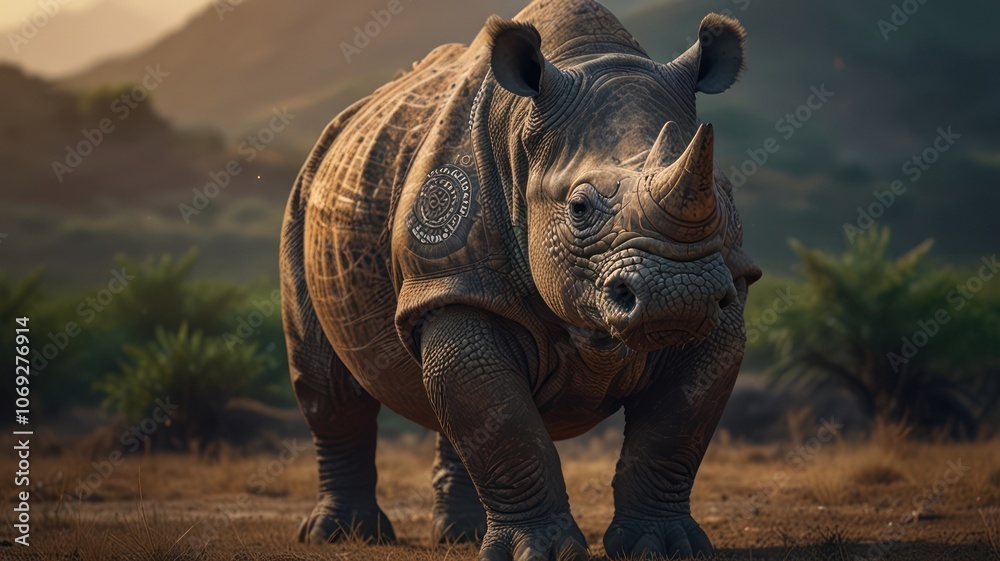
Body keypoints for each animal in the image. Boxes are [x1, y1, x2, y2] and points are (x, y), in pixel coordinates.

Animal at [280, 0, 761, 558]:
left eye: (723, 196)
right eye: (578, 208)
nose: (678, 297)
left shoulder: (726, 294)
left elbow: (675, 428)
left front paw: (664, 546)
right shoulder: (450, 277)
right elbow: (507, 425)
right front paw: (538, 553)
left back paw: (460, 536)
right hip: (304, 195)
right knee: (329, 386)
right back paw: (340, 534)